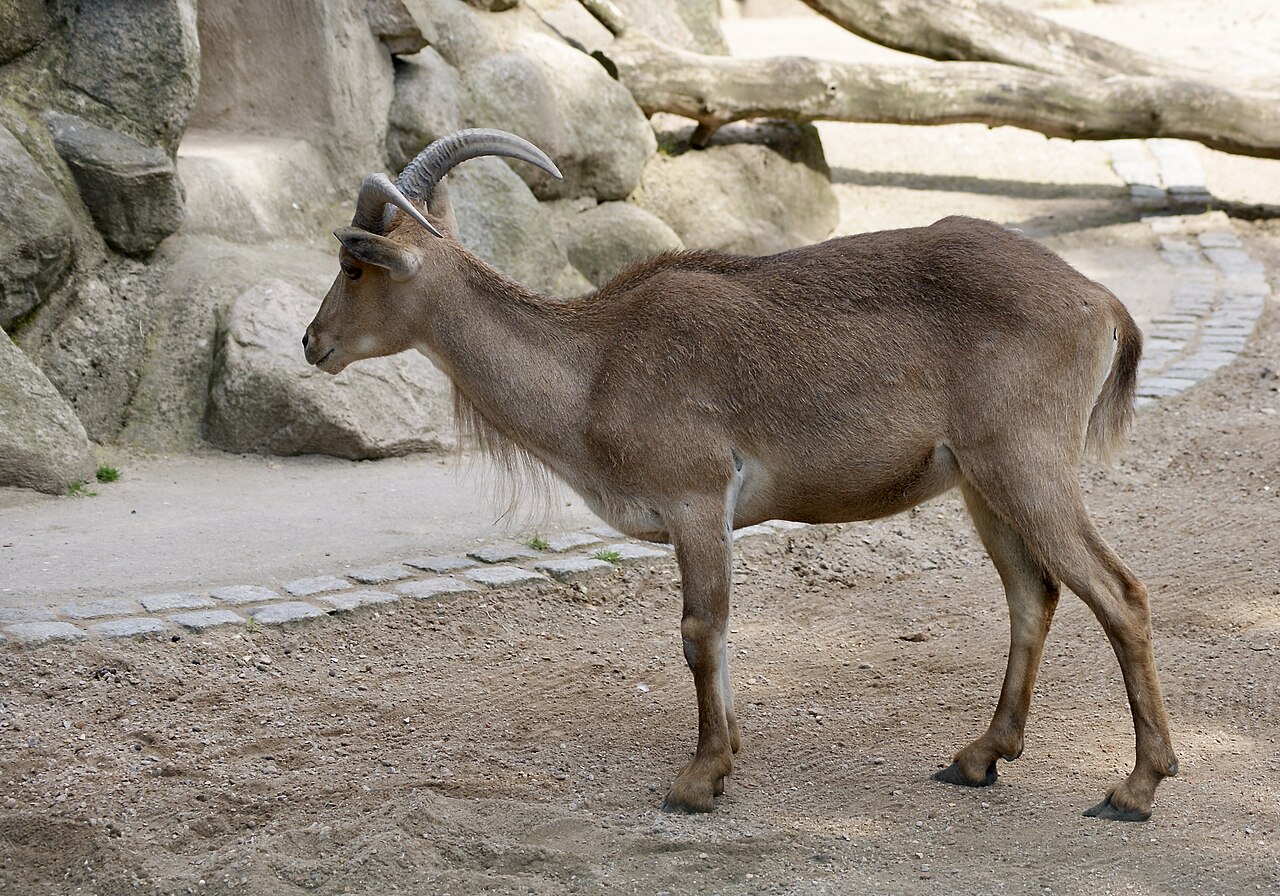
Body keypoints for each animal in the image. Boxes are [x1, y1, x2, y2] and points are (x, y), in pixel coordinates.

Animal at [302, 128, 1177, 821]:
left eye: (354, 265)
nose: (313, 342)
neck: (594, 364)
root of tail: (1100, 303)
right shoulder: (706, 513)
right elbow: (716, 636)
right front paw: (724, 761)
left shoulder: (695, 498)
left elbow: (700, 632)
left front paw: (697, 779)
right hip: (981, 483)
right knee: (1034, 594)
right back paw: (978, 757)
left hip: (1026, 466)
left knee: (1121, 593)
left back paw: (1136, 787)